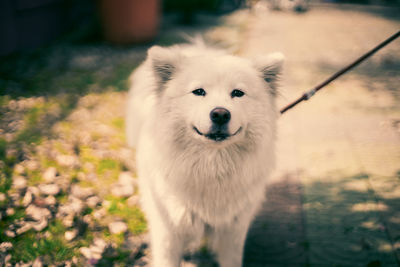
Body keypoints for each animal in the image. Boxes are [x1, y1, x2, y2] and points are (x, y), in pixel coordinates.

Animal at [126, 40, 284, 266]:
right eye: (199, 91)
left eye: (237, 93)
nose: (220, 114)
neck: (211, 167)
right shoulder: (168, 232)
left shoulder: (232, 232)